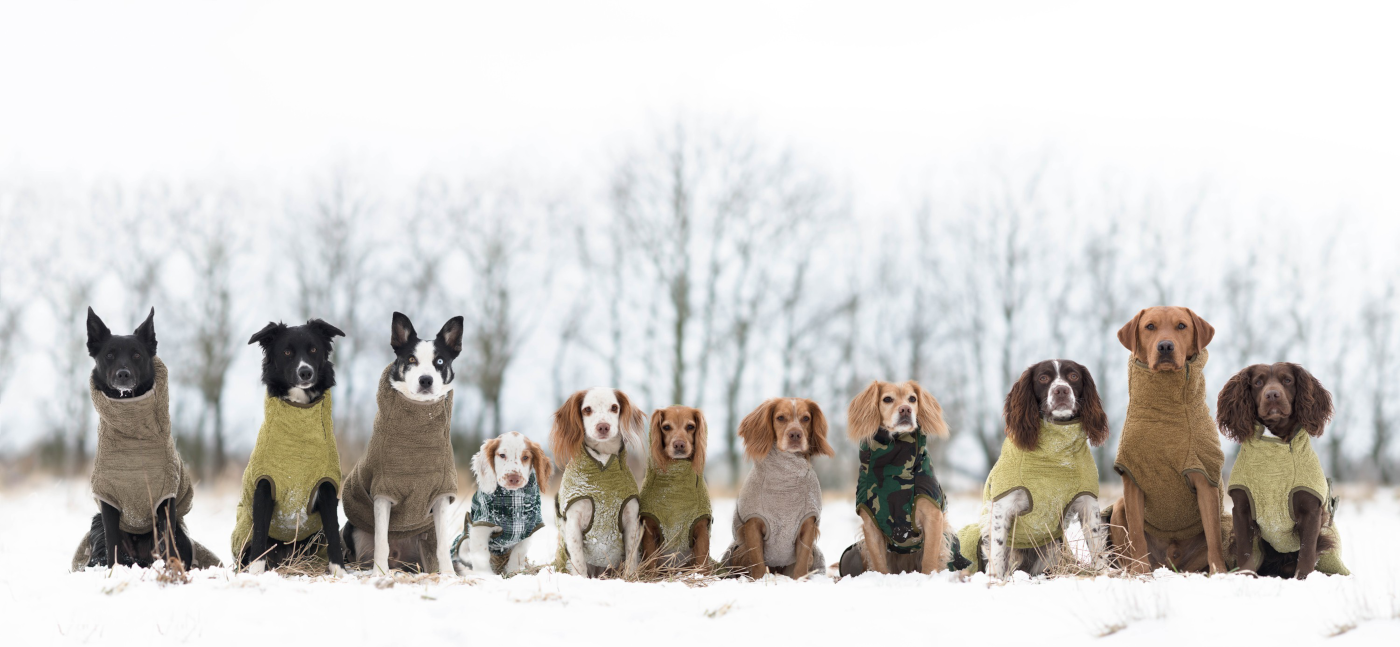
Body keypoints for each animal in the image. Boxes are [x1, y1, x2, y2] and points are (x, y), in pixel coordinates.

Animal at [84, 308, 194, 565]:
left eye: (136, 355)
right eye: (110, 355)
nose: (123, 374)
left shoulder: (165, 499)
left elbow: (169, 544)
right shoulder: (108, 501)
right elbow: (112, 543)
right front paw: (114, 571)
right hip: (97, 523)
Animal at [238, 320, 347, 574]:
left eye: (314, 349)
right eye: (287, 352)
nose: (305, 372)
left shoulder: (327, 486)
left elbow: (333, 532)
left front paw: (339, 571)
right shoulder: (264, 485)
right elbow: (259, 535)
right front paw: (256, 572)